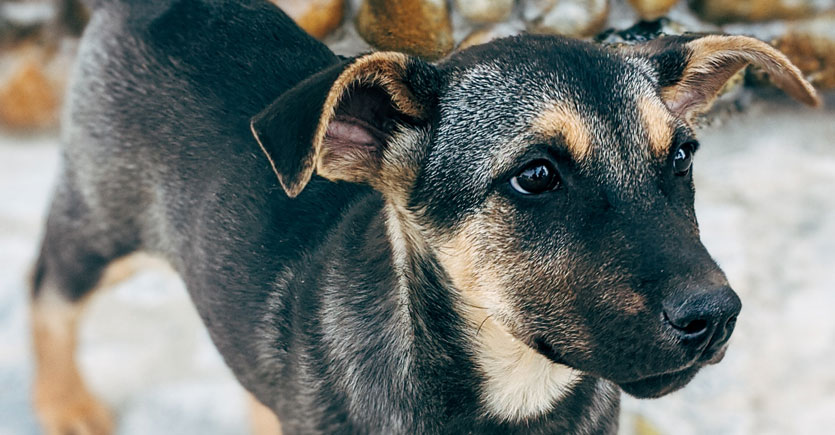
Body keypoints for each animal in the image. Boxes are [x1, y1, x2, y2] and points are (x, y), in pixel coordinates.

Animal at [27, 0, 824, 434]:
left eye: (682, 156)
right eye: (535, 175)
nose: (716, 315)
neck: (515, 393)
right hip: (100, 223)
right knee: (46, 291)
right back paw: (63, 403)